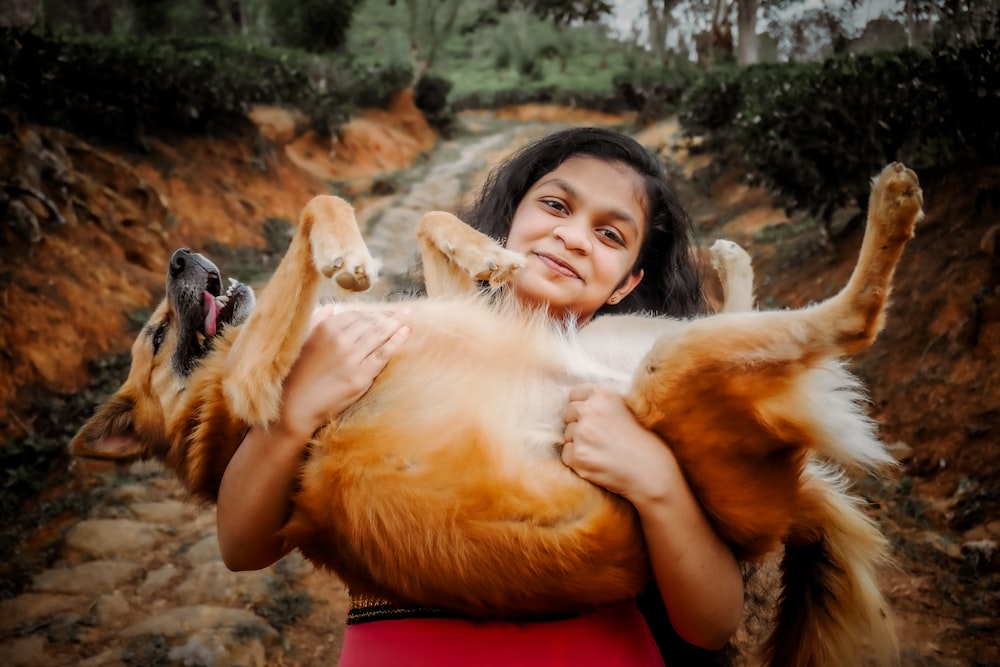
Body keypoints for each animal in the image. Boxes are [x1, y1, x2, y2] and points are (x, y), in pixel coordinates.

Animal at [74, 163, 924, 667]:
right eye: (156, 336)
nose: (183, 256)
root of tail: (780, 507)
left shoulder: (454, 306)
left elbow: (427, 226)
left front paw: (484, 248)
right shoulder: (258, 384)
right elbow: (318, 202)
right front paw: (347, 254)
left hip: (631, 334)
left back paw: (735, 262)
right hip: (675, 363)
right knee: (853, 319)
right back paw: (889, 210)